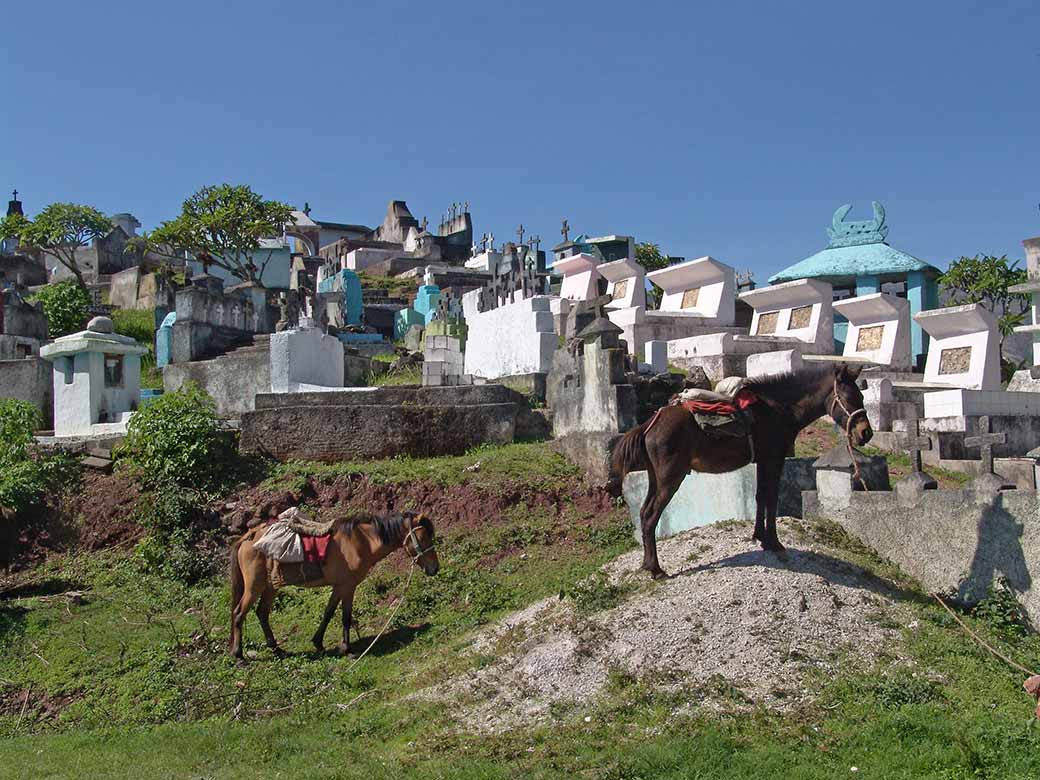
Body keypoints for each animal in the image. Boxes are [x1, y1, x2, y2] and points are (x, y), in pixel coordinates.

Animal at [227, 509, 438, 661]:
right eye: (423, 538)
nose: (435, 568)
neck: (362, 541)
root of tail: (249, 537)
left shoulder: (338, 586)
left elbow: (328, 612)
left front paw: (318, 642)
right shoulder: (348, 586)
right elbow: (345, 616)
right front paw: (347, 649)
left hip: (271, 585)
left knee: (262, 613)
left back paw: (277, 649)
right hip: (254, 586)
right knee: (239, 613)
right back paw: (239, 655)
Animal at [611, 366, 873, 582]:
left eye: (861, 397)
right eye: (848, 398)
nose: (866, 433)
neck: (780, 409)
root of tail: (650, 424)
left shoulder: (762, 462)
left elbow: (760, 497)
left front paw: (759, 537)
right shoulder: (773, 459)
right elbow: (771, 498)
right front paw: (774, 542)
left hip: (655, 478)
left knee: (643, 512)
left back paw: (647, 565)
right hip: (670, 479)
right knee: (651, 516)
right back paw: (656, 569)